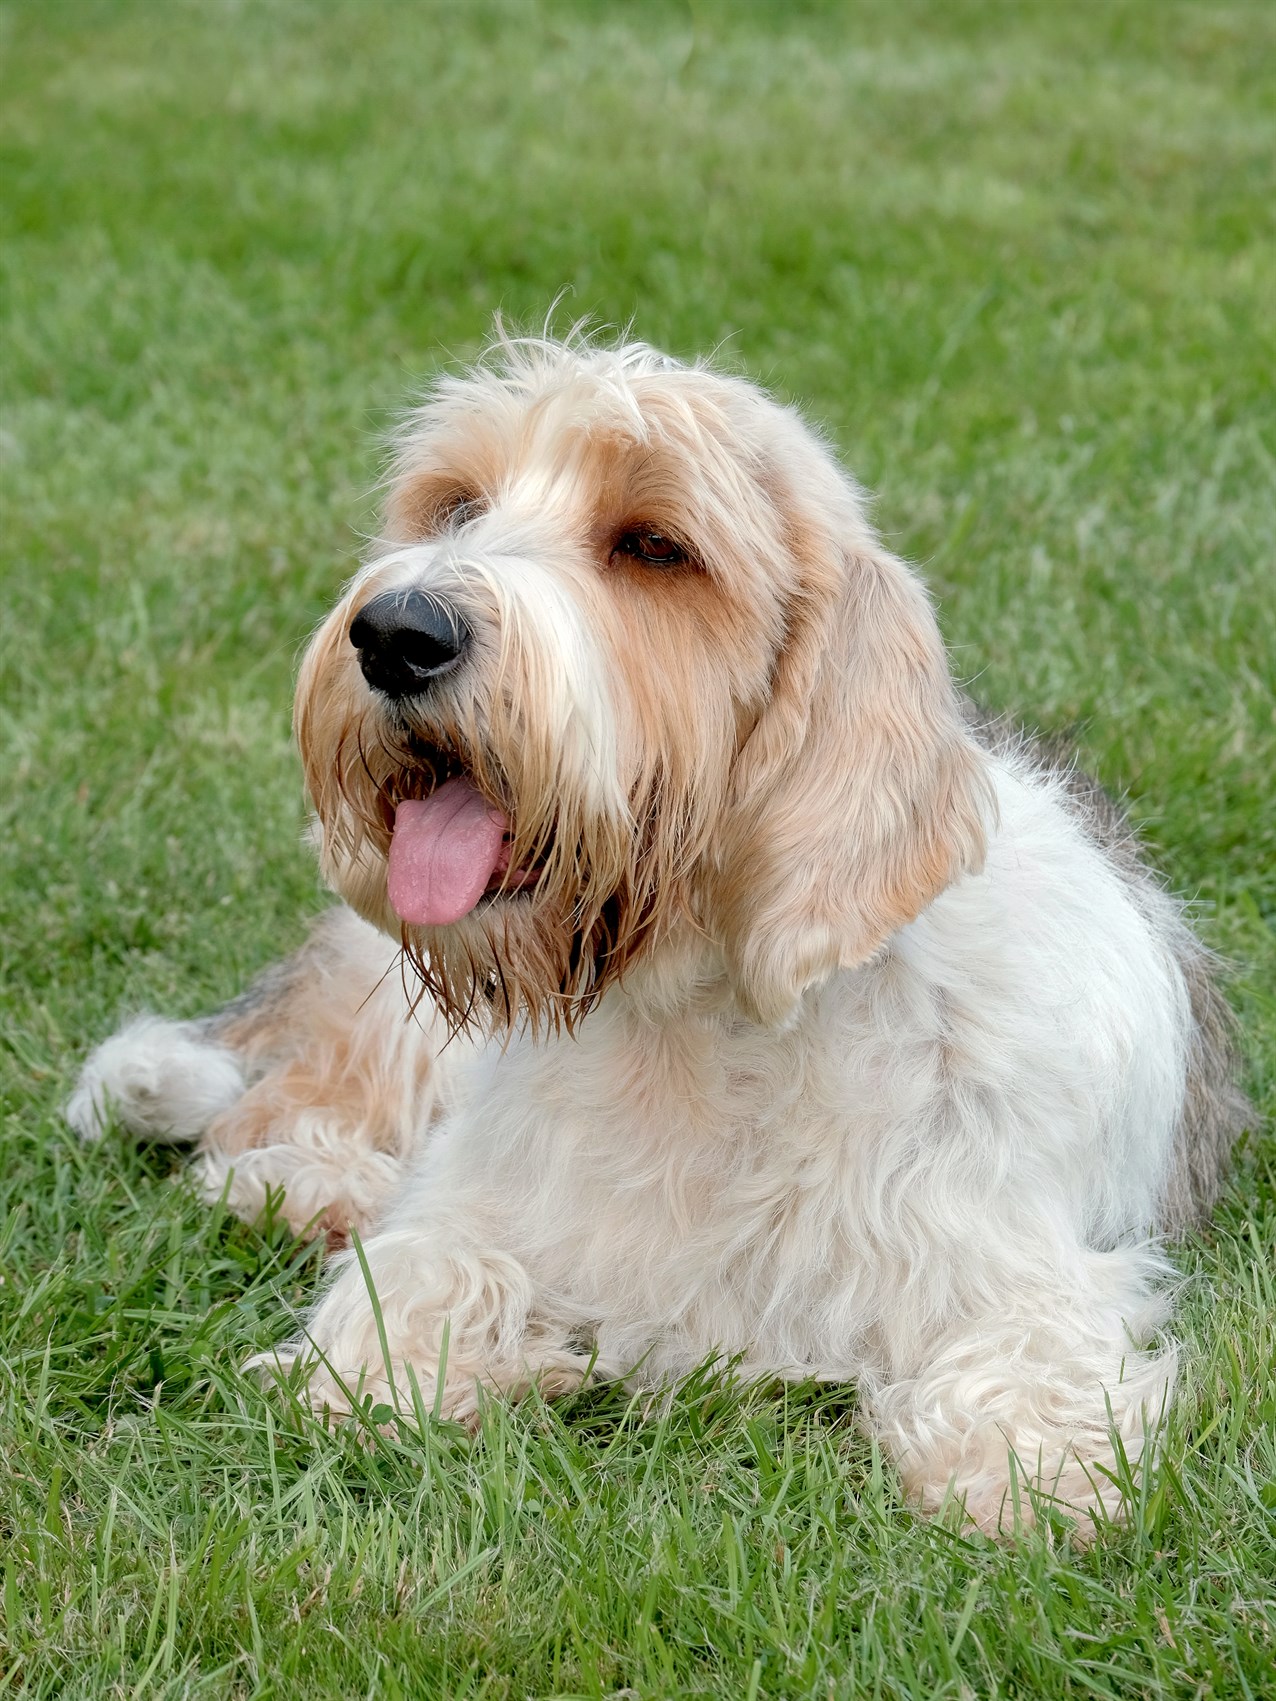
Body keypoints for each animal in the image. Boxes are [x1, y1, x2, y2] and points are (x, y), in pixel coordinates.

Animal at [67, 324, 1252, 1537]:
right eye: (456, 507)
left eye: (653, 546)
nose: (397, 632)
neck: (703, 1019)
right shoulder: (480, 1202)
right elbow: (426, 1267)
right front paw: (368, 1374)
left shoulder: (1028, 1266)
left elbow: (1022, 1356)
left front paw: (1022, 1474)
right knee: (269, 1107)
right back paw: (304, 1184)